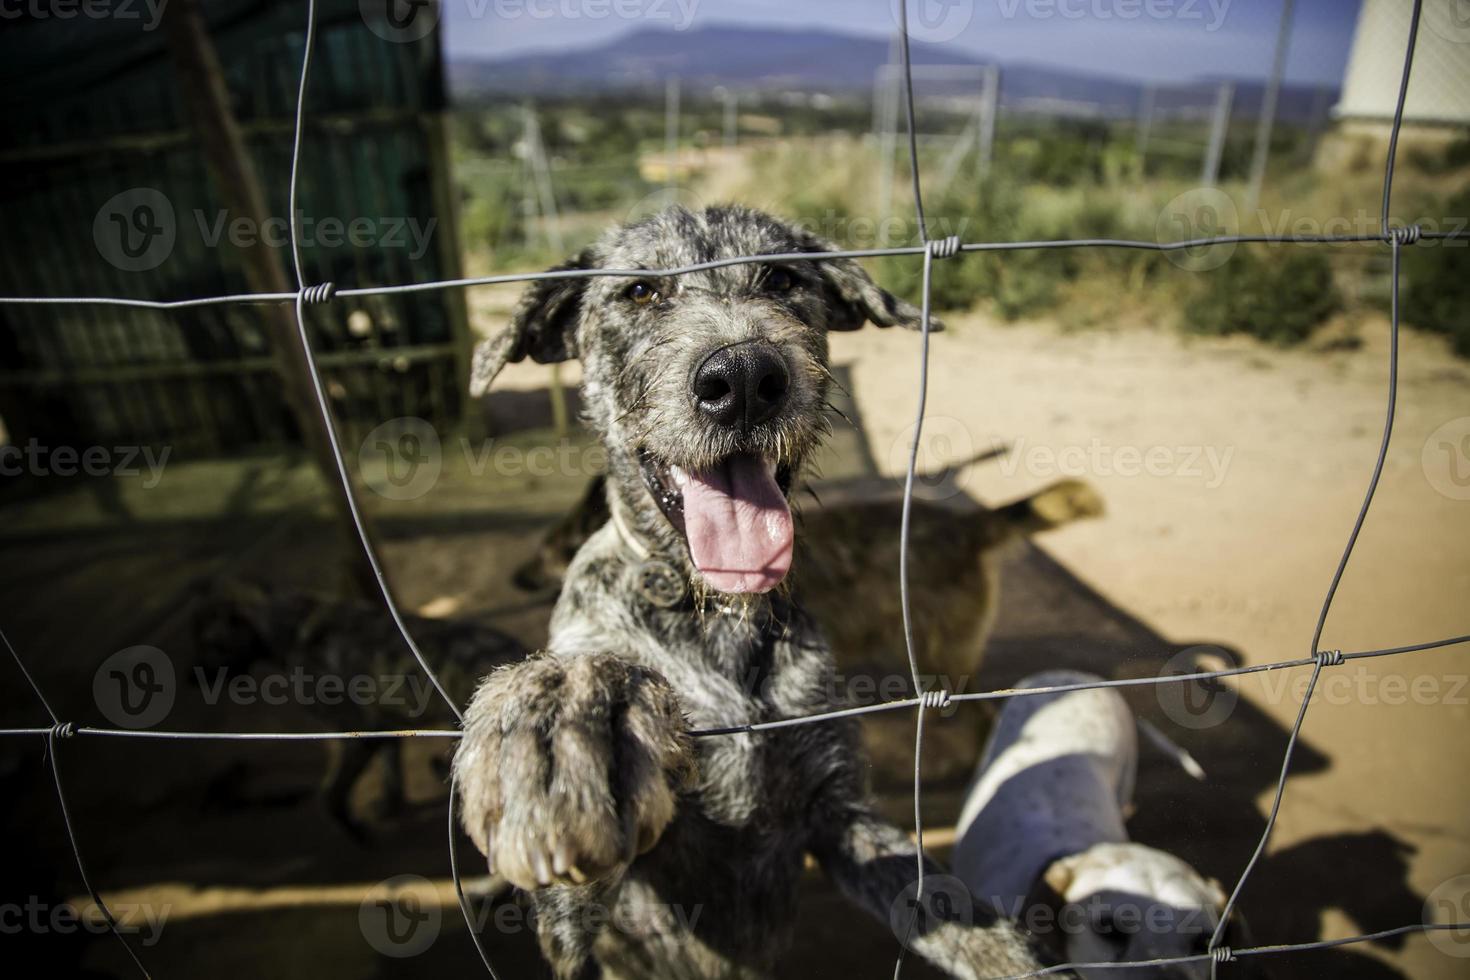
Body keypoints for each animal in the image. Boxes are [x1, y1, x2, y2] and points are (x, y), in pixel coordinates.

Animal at [452, 207, 1052, 980]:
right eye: (640, 291)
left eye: (783, 279)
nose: (742, 377)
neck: (714, 617)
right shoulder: (586, 927)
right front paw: (562, 713)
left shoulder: (841, 818)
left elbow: (965, 921)